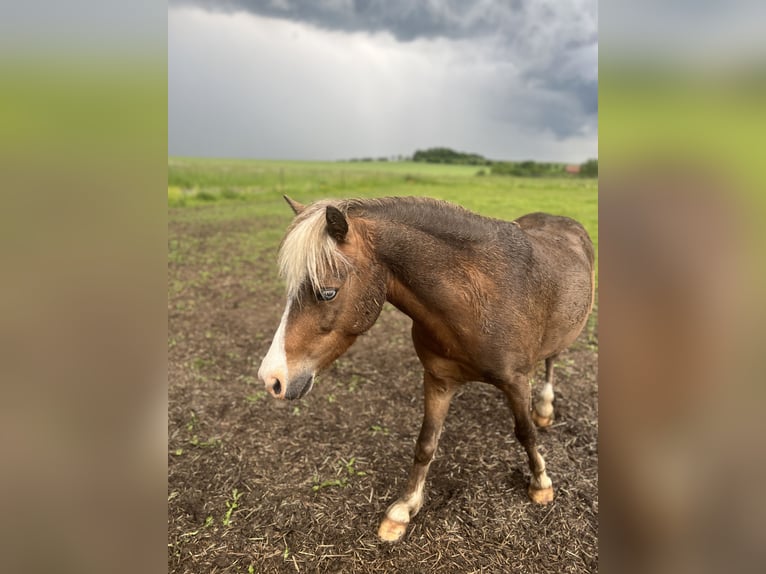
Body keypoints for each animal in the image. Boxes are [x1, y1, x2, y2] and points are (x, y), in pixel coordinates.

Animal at [258, 195, 595, 542]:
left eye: (327, 292)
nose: (272, 378)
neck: (477, 302)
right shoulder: (438, 380)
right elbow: (425, 444)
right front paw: (403, 509)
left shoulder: (516, 381)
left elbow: (526, 433)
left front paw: (540, 483)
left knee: (551, 361)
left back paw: (545, 408)